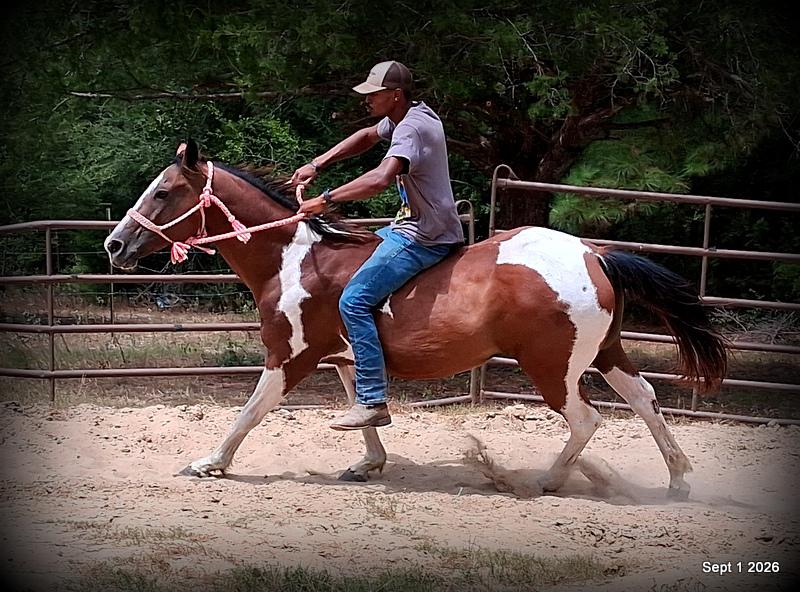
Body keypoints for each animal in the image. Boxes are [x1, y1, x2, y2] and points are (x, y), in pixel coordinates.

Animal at [104, 140, 727, 498]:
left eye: (163, 191)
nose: (115, 243)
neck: (292, 258)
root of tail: (593, 253)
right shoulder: (343, 353)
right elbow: (363, 407)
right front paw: (368, 461)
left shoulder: (290, 355)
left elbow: (249, 413)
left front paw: (210, 463)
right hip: (606, 352)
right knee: (645, 398)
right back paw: (678, 478)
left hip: (553, 368)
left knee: (587, 420)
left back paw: (547, 480)